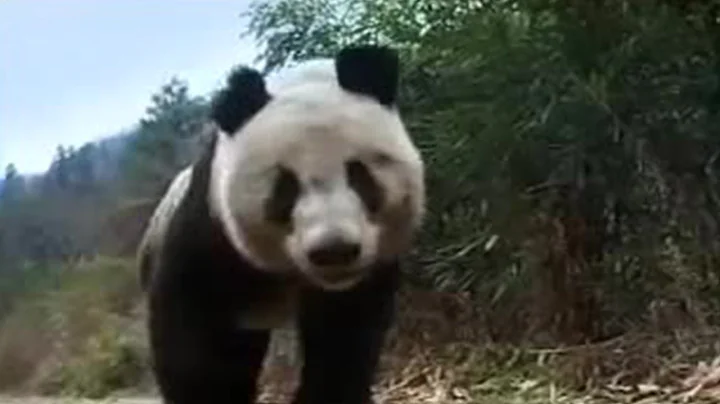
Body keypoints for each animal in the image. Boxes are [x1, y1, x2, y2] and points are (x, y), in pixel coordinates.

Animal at [138, 44, 424, 404]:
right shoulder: (209, 232)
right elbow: (195, 344)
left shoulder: (362, 276)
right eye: (286, 187)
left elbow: (345, 337)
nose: (334, 251)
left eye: (359, 174)